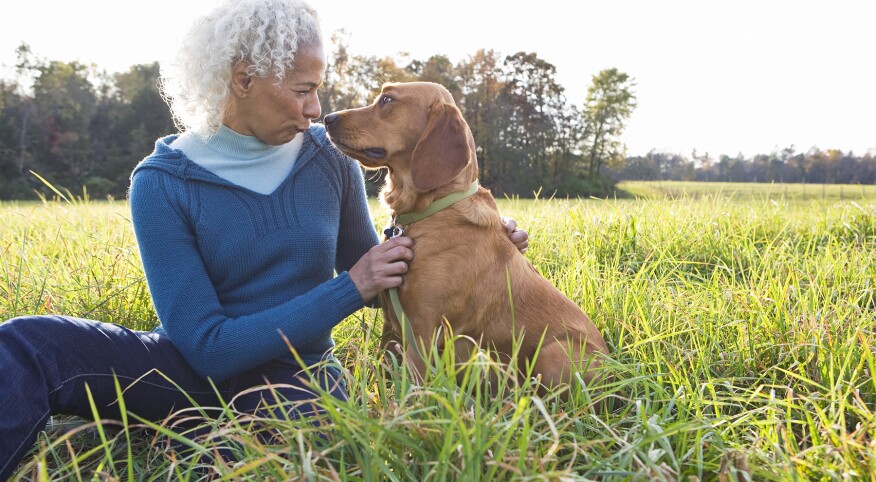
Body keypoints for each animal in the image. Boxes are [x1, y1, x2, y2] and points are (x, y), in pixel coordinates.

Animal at [324, 81, 608, 390]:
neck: (429, 212)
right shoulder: (391, 326)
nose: (327, 118)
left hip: (555, 353)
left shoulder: (422, 333)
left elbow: (407, 392)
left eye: (387, 99)